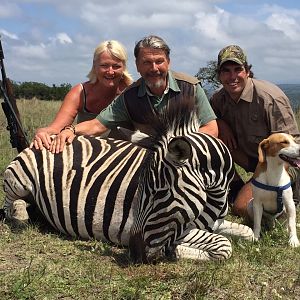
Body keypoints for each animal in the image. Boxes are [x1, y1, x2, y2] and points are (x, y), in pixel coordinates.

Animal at [1, 98, 253, 262]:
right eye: (140, 190)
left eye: (161, 193)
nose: (134, 253)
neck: (214, 197)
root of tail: (49, 137)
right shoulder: (178, 230)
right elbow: (224, 245)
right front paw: (175, 252)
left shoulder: (214, 222)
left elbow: (248, 233)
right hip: (18, 178)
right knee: (8, 204)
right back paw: (20, 215)